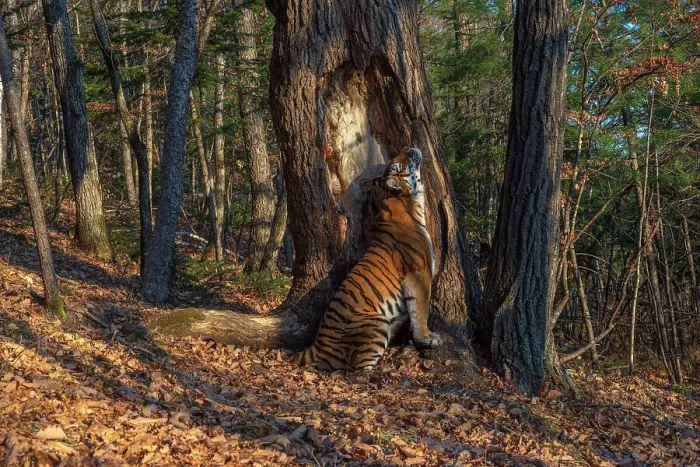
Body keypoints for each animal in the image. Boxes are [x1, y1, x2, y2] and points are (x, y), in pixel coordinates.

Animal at [296, 147, 442, 371]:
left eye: (398, 158)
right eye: (397, 166)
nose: (408, 148)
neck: (407, 200)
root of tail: (316, 344)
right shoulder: (420, 273)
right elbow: (421, 309)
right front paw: (428, 337)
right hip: (376, 324)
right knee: (358, 370)